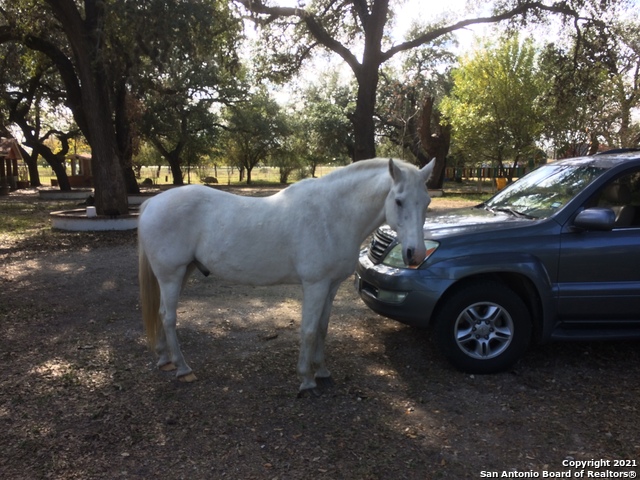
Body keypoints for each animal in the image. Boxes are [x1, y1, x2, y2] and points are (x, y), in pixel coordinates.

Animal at [138, 158, 432, 394]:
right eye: (398, 200)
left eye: (427, 202)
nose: (415, 254)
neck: (333, 214)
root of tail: (153, 202)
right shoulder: (315, 285)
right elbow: (309, 330)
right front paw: (307, 380)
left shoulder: (331, 286)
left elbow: (323, 328)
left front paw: (322, 371)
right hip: (171, 275)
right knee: (168, 317)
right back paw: (183, 368)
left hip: (182, 272)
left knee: (162, 314)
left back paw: (166, 360)